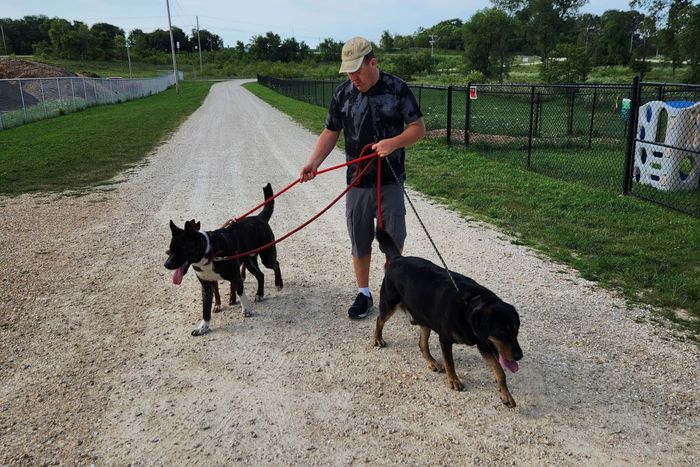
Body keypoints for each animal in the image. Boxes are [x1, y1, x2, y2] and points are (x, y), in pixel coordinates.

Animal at [165, 183, 284, 336]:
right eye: (170, 249)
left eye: (182, 248)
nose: (166, 264)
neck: (209, 253)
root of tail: (259, 217)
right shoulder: (206, 284)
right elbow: (206, 308)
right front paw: (203, 327)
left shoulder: (235, 276)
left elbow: (240, 292)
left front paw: (246, 310)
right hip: (249, 262)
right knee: (261, 275)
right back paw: (259, 294)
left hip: (266, 256)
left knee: (275, 264)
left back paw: (278, 284)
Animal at [374, 229, 524, 408]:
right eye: (501, 331)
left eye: (516, 330)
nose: (519, 356)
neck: (470, 305)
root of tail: (398, 259)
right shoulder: (445, 339)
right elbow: (450, 363)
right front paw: (453, 380)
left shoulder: (484, 344)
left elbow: (500, 371)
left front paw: (506, 394)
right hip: (389, 304)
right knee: (379, 319)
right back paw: (378, 339)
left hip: (424, 316)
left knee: (422, 344)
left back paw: (432, 361)